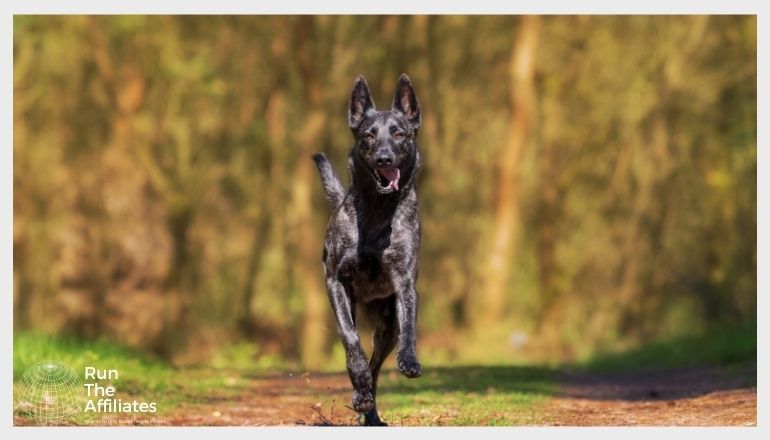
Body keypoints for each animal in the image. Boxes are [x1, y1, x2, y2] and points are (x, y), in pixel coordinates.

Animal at [310, 74, 424, 424]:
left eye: (399, 134)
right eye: (368, 135)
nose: (384, 158)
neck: (377, 211)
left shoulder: (405, 283)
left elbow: (409, 326)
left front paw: (409, 361)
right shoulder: (336, 282)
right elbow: (351, 340)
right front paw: (357, 383)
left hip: (387, 326)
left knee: (377, 366)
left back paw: (371, 412)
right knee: (363, 360)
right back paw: (361, 397)